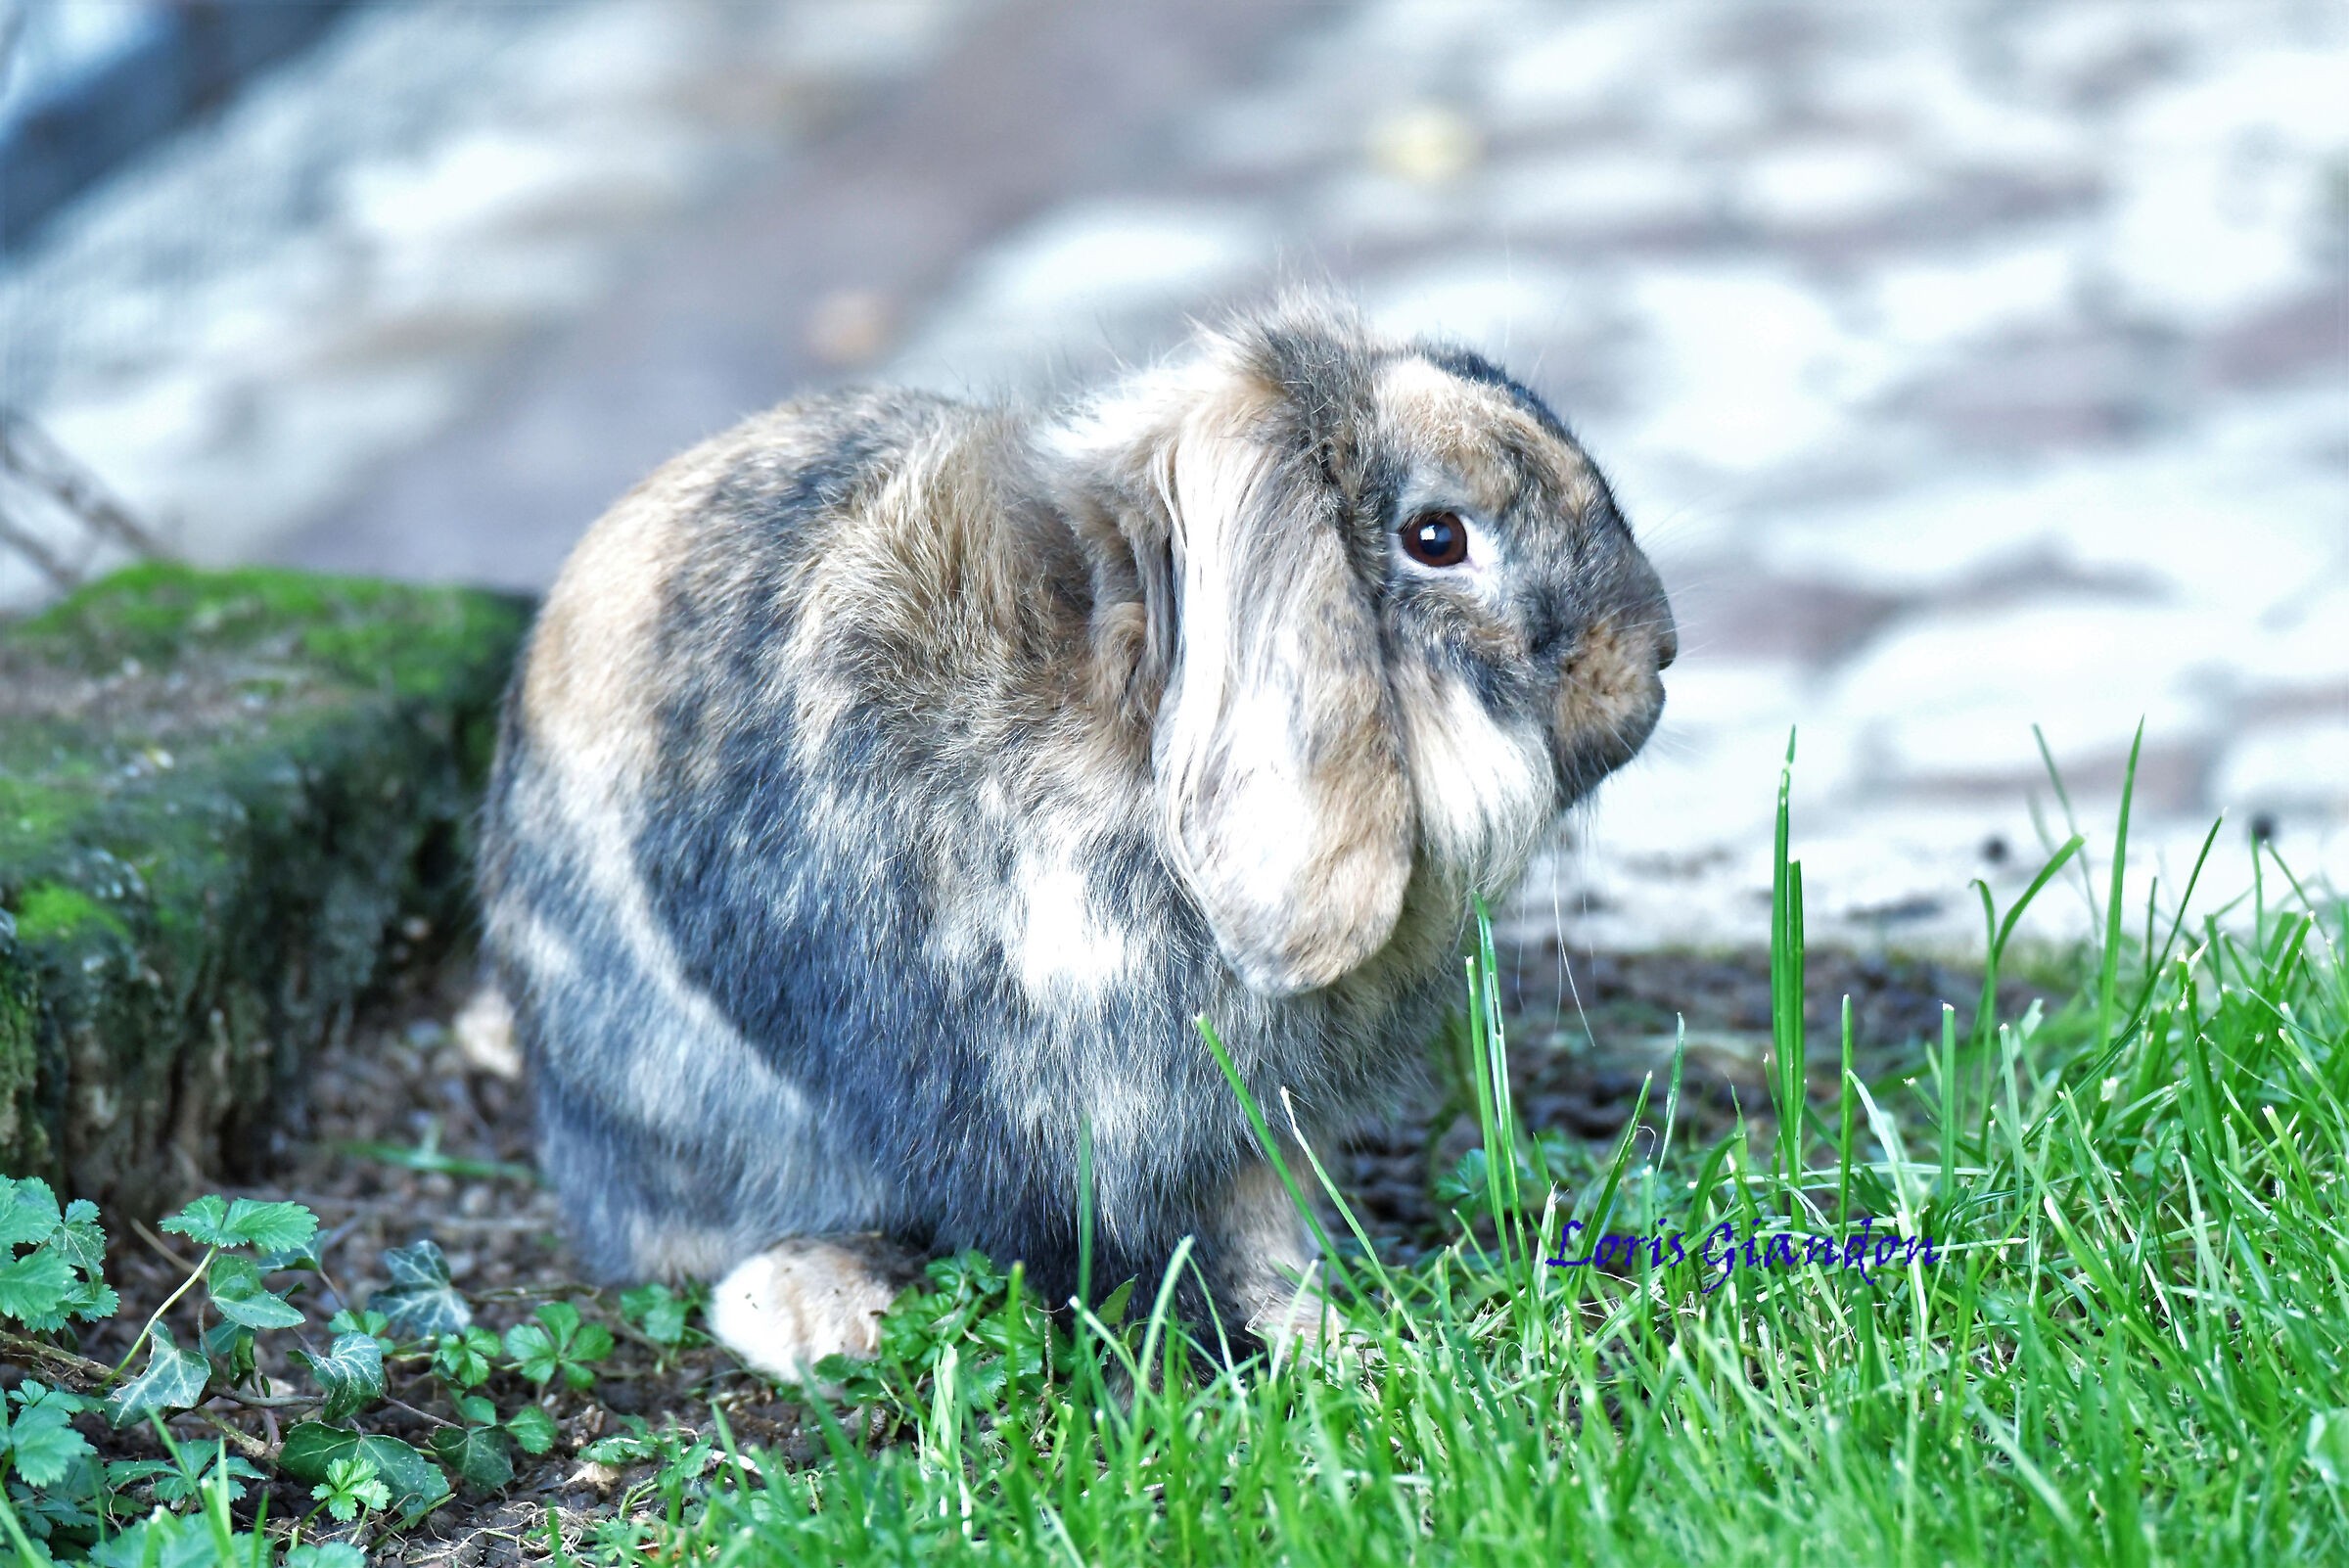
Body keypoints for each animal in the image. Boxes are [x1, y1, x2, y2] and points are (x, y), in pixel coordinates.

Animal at [476, 298, 1675, 1379]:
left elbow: (1263, 1237)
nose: (1653, 657)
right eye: (1437, 538)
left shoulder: (1246, 1137)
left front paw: (1334, 1340)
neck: (1138, 746)